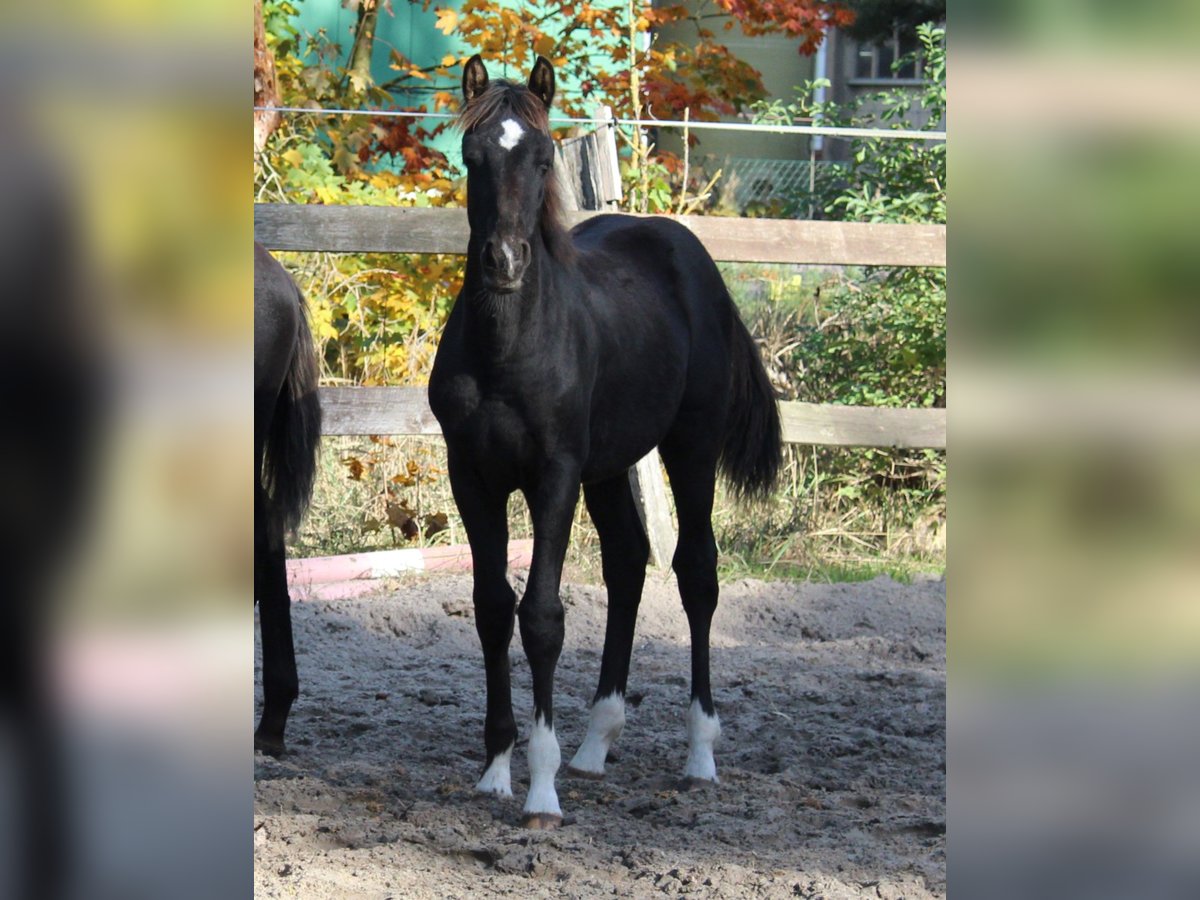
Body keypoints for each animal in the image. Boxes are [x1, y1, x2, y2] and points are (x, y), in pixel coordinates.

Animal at [427, 58, 782, 830]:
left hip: (689, 446)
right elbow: (492, 607)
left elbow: (542, 616)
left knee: (697, 572)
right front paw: (497, 770)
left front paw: (540, 791)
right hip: (612, 466)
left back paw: (699, 755)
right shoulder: (472, 475)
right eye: (472, 156)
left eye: (540, 157)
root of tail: (694, 260)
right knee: (627, 562)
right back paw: (595, 744)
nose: (503, 261)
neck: (507, 351)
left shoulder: (555, 474)